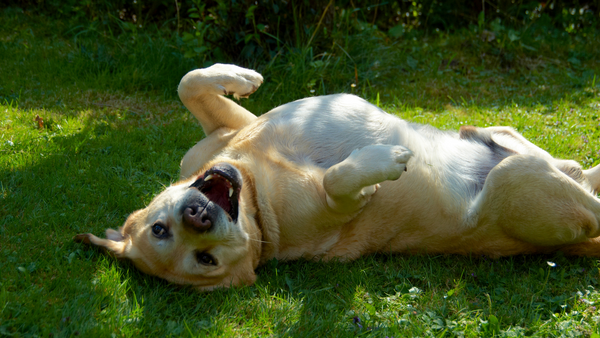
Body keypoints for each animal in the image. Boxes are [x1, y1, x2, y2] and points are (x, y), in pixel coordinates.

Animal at [74, 64, 600, 290]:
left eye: (160, 227)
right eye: (205, 261)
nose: (198, 215)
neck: (256, 186)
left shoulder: (226, 133)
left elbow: (189, 83)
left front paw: (240, 76)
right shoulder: (332, 206)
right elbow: (337, 185)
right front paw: (382, 162)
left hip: (515, 152)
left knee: (567, 164)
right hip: (517, 180)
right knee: (581, 193)